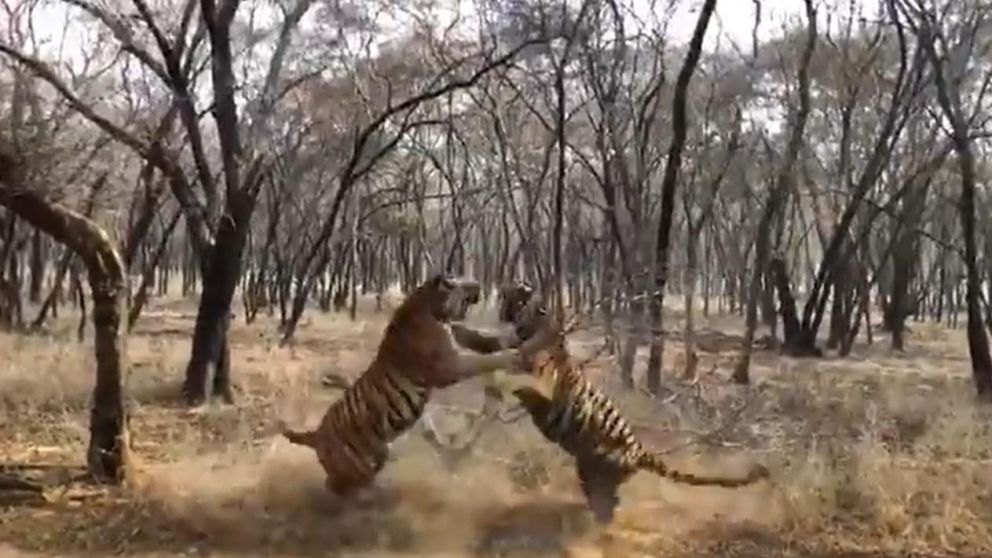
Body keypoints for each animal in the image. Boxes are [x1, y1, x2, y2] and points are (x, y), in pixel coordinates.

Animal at [281, 273, 556, 498]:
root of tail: (315, 433)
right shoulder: (449, 367)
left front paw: (530, 339)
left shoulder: (461, 339)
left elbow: (492, 342)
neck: (431, 309)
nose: (479, 284)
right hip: (355, 464)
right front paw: (519, 355)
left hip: (378, 452)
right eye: (457, 281)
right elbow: (486, 359)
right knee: (338, 486)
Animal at [490, 283, 771, 524]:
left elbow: (522, 371)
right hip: (588, 466)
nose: (500, 311)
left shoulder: (544, 374)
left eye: (511, 298)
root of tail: (639, 449)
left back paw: (596, 522)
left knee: (606, 501)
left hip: (598, 468)